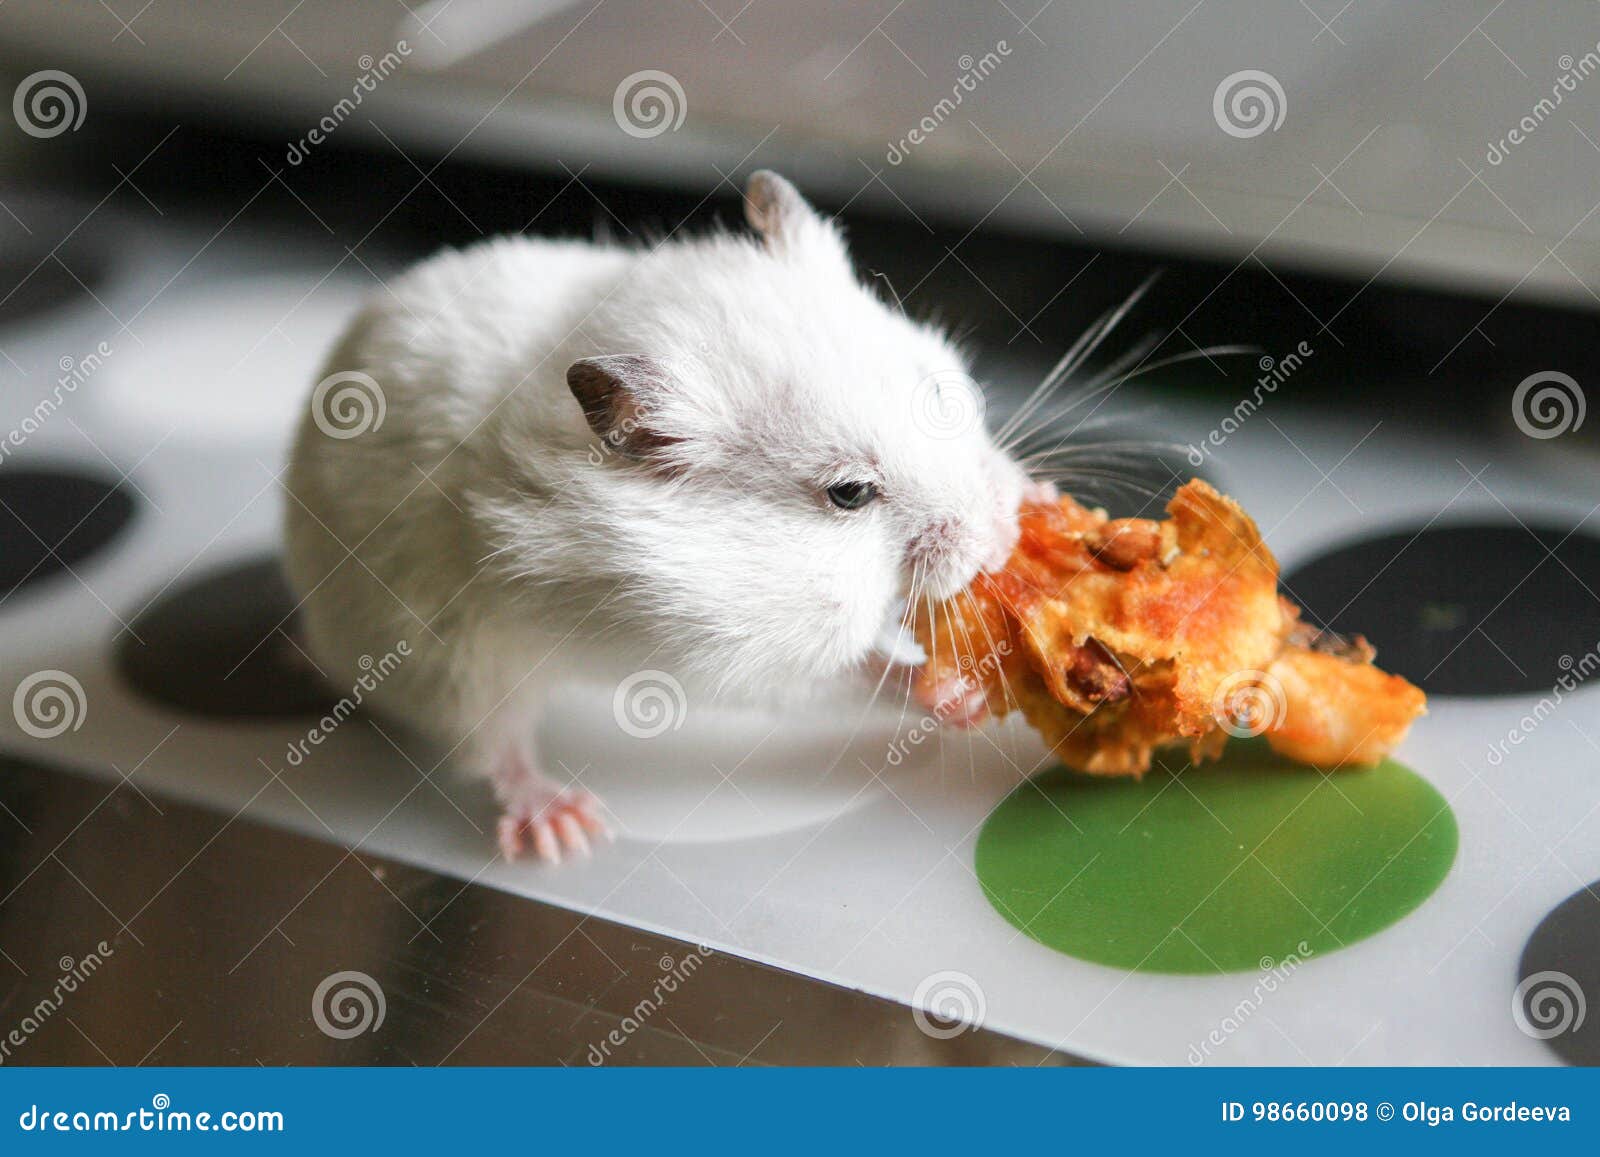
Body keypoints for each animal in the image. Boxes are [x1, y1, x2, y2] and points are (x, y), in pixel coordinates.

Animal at [284, 171, 1033, 863]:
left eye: (937, 391)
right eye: (849, 493)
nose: (1001, 541)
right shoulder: (732, 655)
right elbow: (846, 677)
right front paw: (955, 693)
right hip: (449, 664)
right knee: (493, 745)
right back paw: (562, 829)